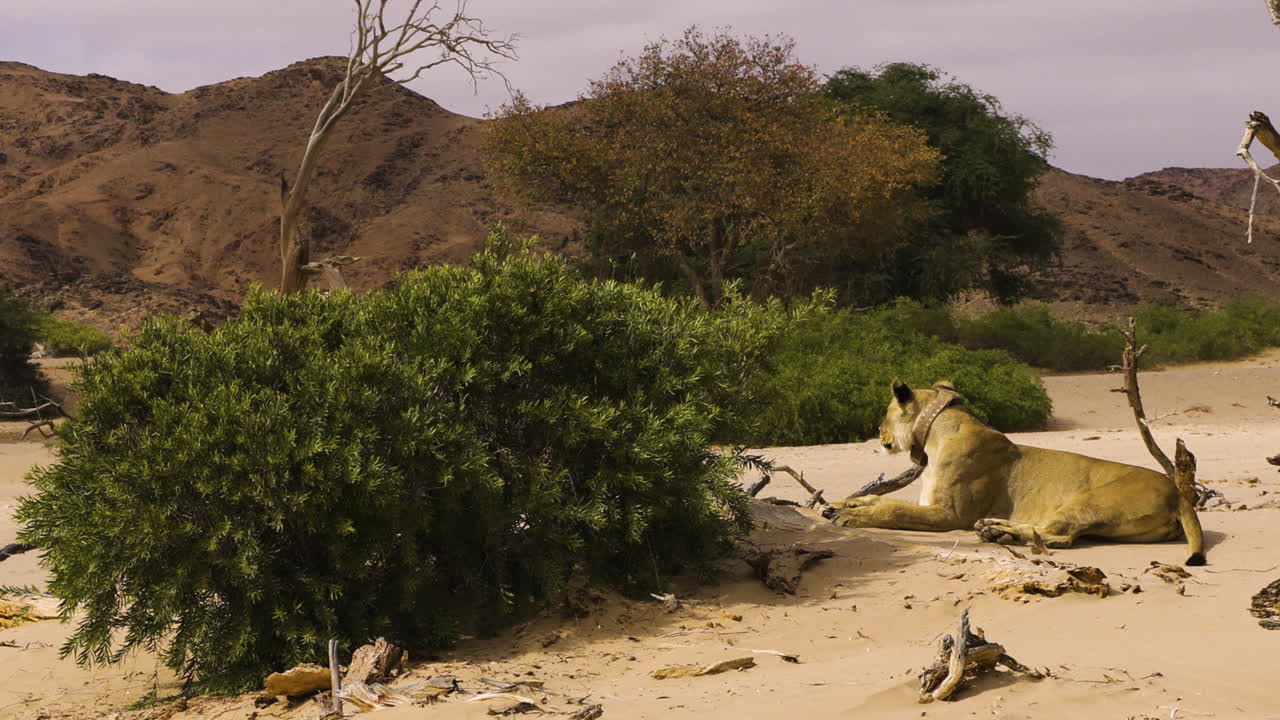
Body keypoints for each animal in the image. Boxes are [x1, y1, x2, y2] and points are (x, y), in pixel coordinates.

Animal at [830, 380, 1206, 566]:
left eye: (884, 412)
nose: (877, 432)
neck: (934, 437)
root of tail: (1178, 493)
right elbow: (879, 499)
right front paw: (842, 504)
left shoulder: (950, 515)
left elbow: (893, 510)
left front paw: (849, 517)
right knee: (1051, 531)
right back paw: (995, 530)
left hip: (1087, 500)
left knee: (1058, 536)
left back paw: (998, 533)